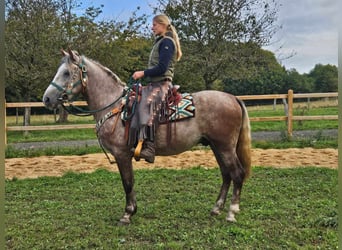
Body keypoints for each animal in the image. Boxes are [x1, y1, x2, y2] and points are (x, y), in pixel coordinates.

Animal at [42, 48, 251, 225]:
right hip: (217, 146)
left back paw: (231, 212)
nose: (47, 98)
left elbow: (127, 182)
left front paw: (127, 214)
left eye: (66, 73)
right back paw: (216, 209)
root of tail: (233, 98)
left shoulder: (121, 154)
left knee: (237, 173)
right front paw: (132, 210)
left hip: (225, 147)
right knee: (226, 174)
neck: (115, 106)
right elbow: (130, 182)